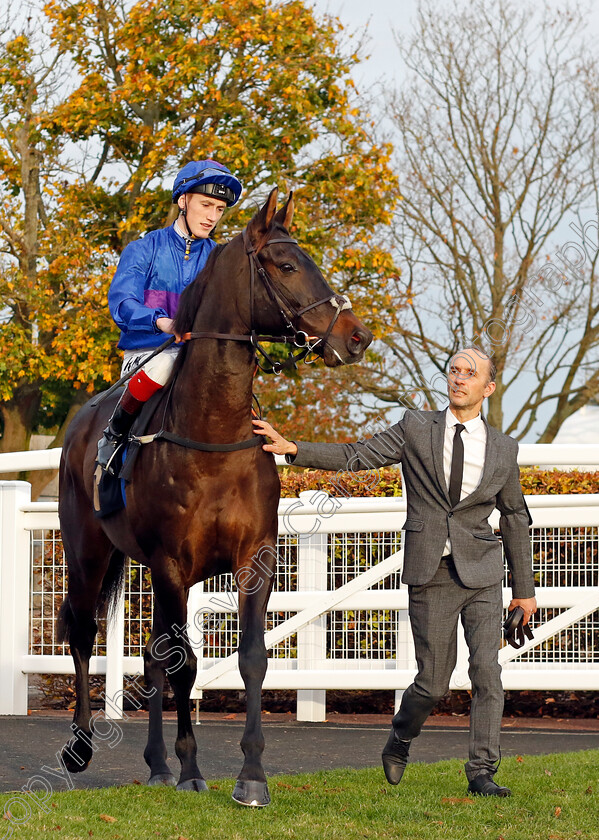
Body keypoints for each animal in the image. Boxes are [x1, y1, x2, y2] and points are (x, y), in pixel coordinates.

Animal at [58, 190, 372, 808]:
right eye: (285, 265)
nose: (355, 336)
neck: (215, 434)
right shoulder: (173, 564)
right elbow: (184, 666)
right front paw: (190, 769)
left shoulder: (254, 558)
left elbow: (249, 658)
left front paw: (251, 775)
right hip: (88, 554)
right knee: (84, 635)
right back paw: (82, 748)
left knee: (151, 656)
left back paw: (155, 764)